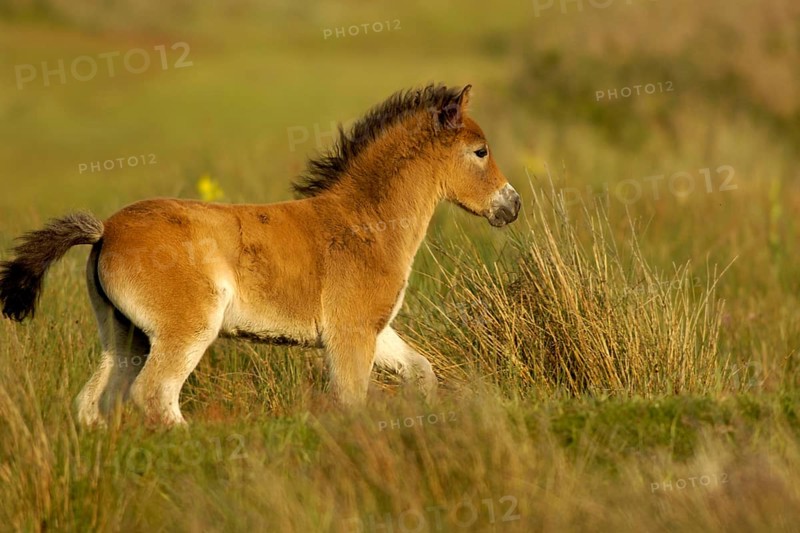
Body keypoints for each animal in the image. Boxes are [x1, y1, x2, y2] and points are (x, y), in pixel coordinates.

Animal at [0, 84, 521, 426]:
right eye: (480, 151)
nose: (512, 205)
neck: (366, 222)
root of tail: (105, 231)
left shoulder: (374, 329)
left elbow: (421, 371)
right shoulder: (350, 333)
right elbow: (351, 398)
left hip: (123, 335)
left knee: (93, 402)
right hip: (184, 329)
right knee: (154, 396)